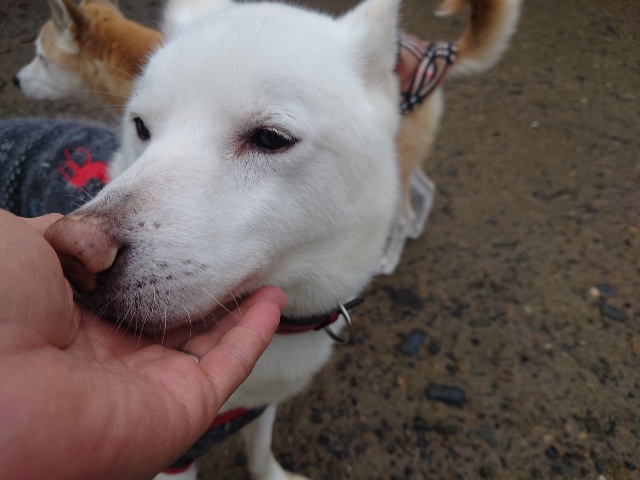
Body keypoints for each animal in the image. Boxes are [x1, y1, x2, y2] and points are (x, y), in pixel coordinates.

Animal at [17, 0, 520, 274]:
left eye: (40, 55)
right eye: (140, 127)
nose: (17, 82)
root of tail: (440, 50)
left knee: (404, 208)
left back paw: (389, 255)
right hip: (405, 156)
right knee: (426, 189)